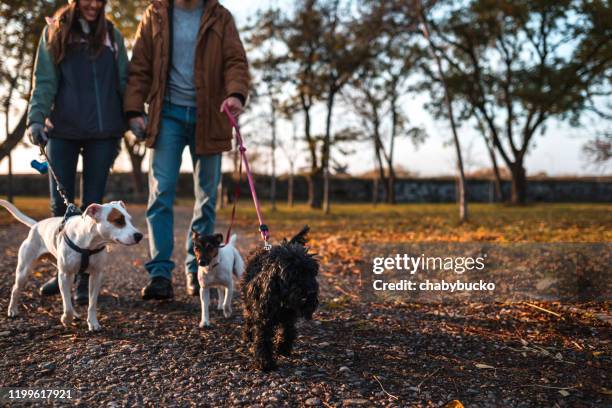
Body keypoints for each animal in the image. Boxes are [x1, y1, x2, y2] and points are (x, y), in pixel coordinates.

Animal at [0, 201, 142, 332]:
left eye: (130, 220)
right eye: (118, 221)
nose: (139, 235)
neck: (89, 243)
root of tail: (36, 225)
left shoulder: (96, 275)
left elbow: (91, 303)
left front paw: (93, 323)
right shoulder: (65, 274)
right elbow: (67, 305)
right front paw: (66, 319)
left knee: (66, 296)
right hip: (24, 270)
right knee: (16, 289)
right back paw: (12, 310)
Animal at [241, 225, 320, 372]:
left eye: (311, 273)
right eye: (294, 274)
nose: (311, 292)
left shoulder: (289, 315)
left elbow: (288, 330)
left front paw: (283, 348)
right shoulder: (263, 317)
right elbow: (263, 338)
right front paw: (265, 362)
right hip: (248, 302)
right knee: (248, 316)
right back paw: (248, 335)